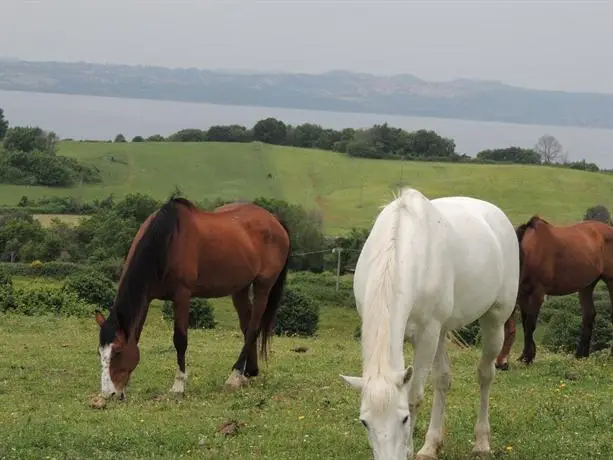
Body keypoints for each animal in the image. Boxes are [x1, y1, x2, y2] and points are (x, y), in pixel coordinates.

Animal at [92, 198, 290, 398]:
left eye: (118, 352)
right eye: (100, 353)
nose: (108, 394)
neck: (167, 243)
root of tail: (275, 220)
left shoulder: (182, 296)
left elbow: (180, 340)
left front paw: (178, 385)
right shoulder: (147, 298)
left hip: (263, 287)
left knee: (253, 327)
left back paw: (234, 376)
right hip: (240, 288)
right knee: (246, 324)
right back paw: (248, 372)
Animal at [342, 188, 520, 460]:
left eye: (404, 419)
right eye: (364, 422)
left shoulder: (427, 334)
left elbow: (414, 395)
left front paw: (409, 449)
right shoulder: (429, 333)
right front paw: (425, 448)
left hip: (494, 321)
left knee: (485, 375)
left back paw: (481, 442)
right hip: (442, 332)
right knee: (443, 380)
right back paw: (432, 445)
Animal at [494, 214, 613, 368]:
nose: (499, 364)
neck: (531, 251)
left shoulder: (538, 293)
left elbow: (530, 324)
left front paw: (527, 357)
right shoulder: (523, 294)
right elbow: (526, 323)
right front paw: (526, 356)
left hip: (611, 281)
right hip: (587, 285)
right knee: (589, 315)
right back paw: (580, 355)